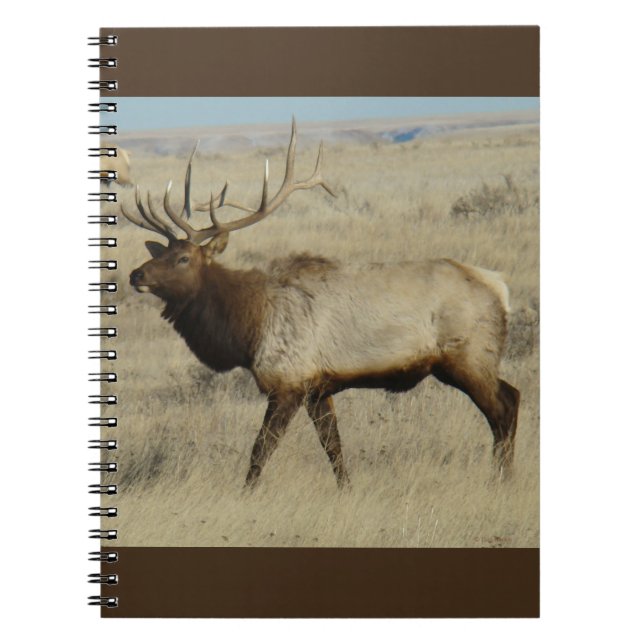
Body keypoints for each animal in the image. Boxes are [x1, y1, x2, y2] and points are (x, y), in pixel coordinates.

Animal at [122, 119, 520, 489]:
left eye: (183, 258)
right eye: (161, 252)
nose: (136, 274)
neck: (248, 326)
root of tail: (500, 287)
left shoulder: (288, 380)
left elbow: (261, 448)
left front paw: (245, 493)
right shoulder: (318, 386)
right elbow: (334, 447)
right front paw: (346, 490)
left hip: (468, 356)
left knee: (504, 406)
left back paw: (501, 479)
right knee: (511, 397)